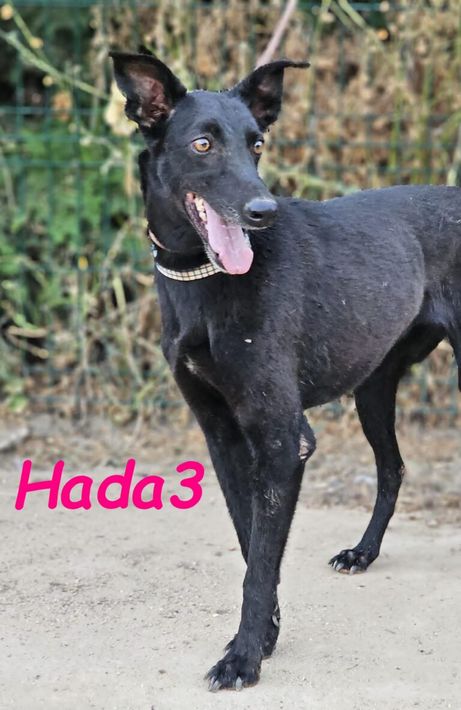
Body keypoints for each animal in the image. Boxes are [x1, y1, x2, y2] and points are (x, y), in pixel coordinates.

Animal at [110, 49, 461, 690]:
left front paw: (243, 656)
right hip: (373, 389)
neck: (201, 278)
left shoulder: (281, 438)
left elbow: (259, 560)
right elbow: (252, 545)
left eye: (257, 145)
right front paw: (266, 635)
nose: (263, 211)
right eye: (202, 144)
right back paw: (363, 552)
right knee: (393, 468)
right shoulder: (224, 437)